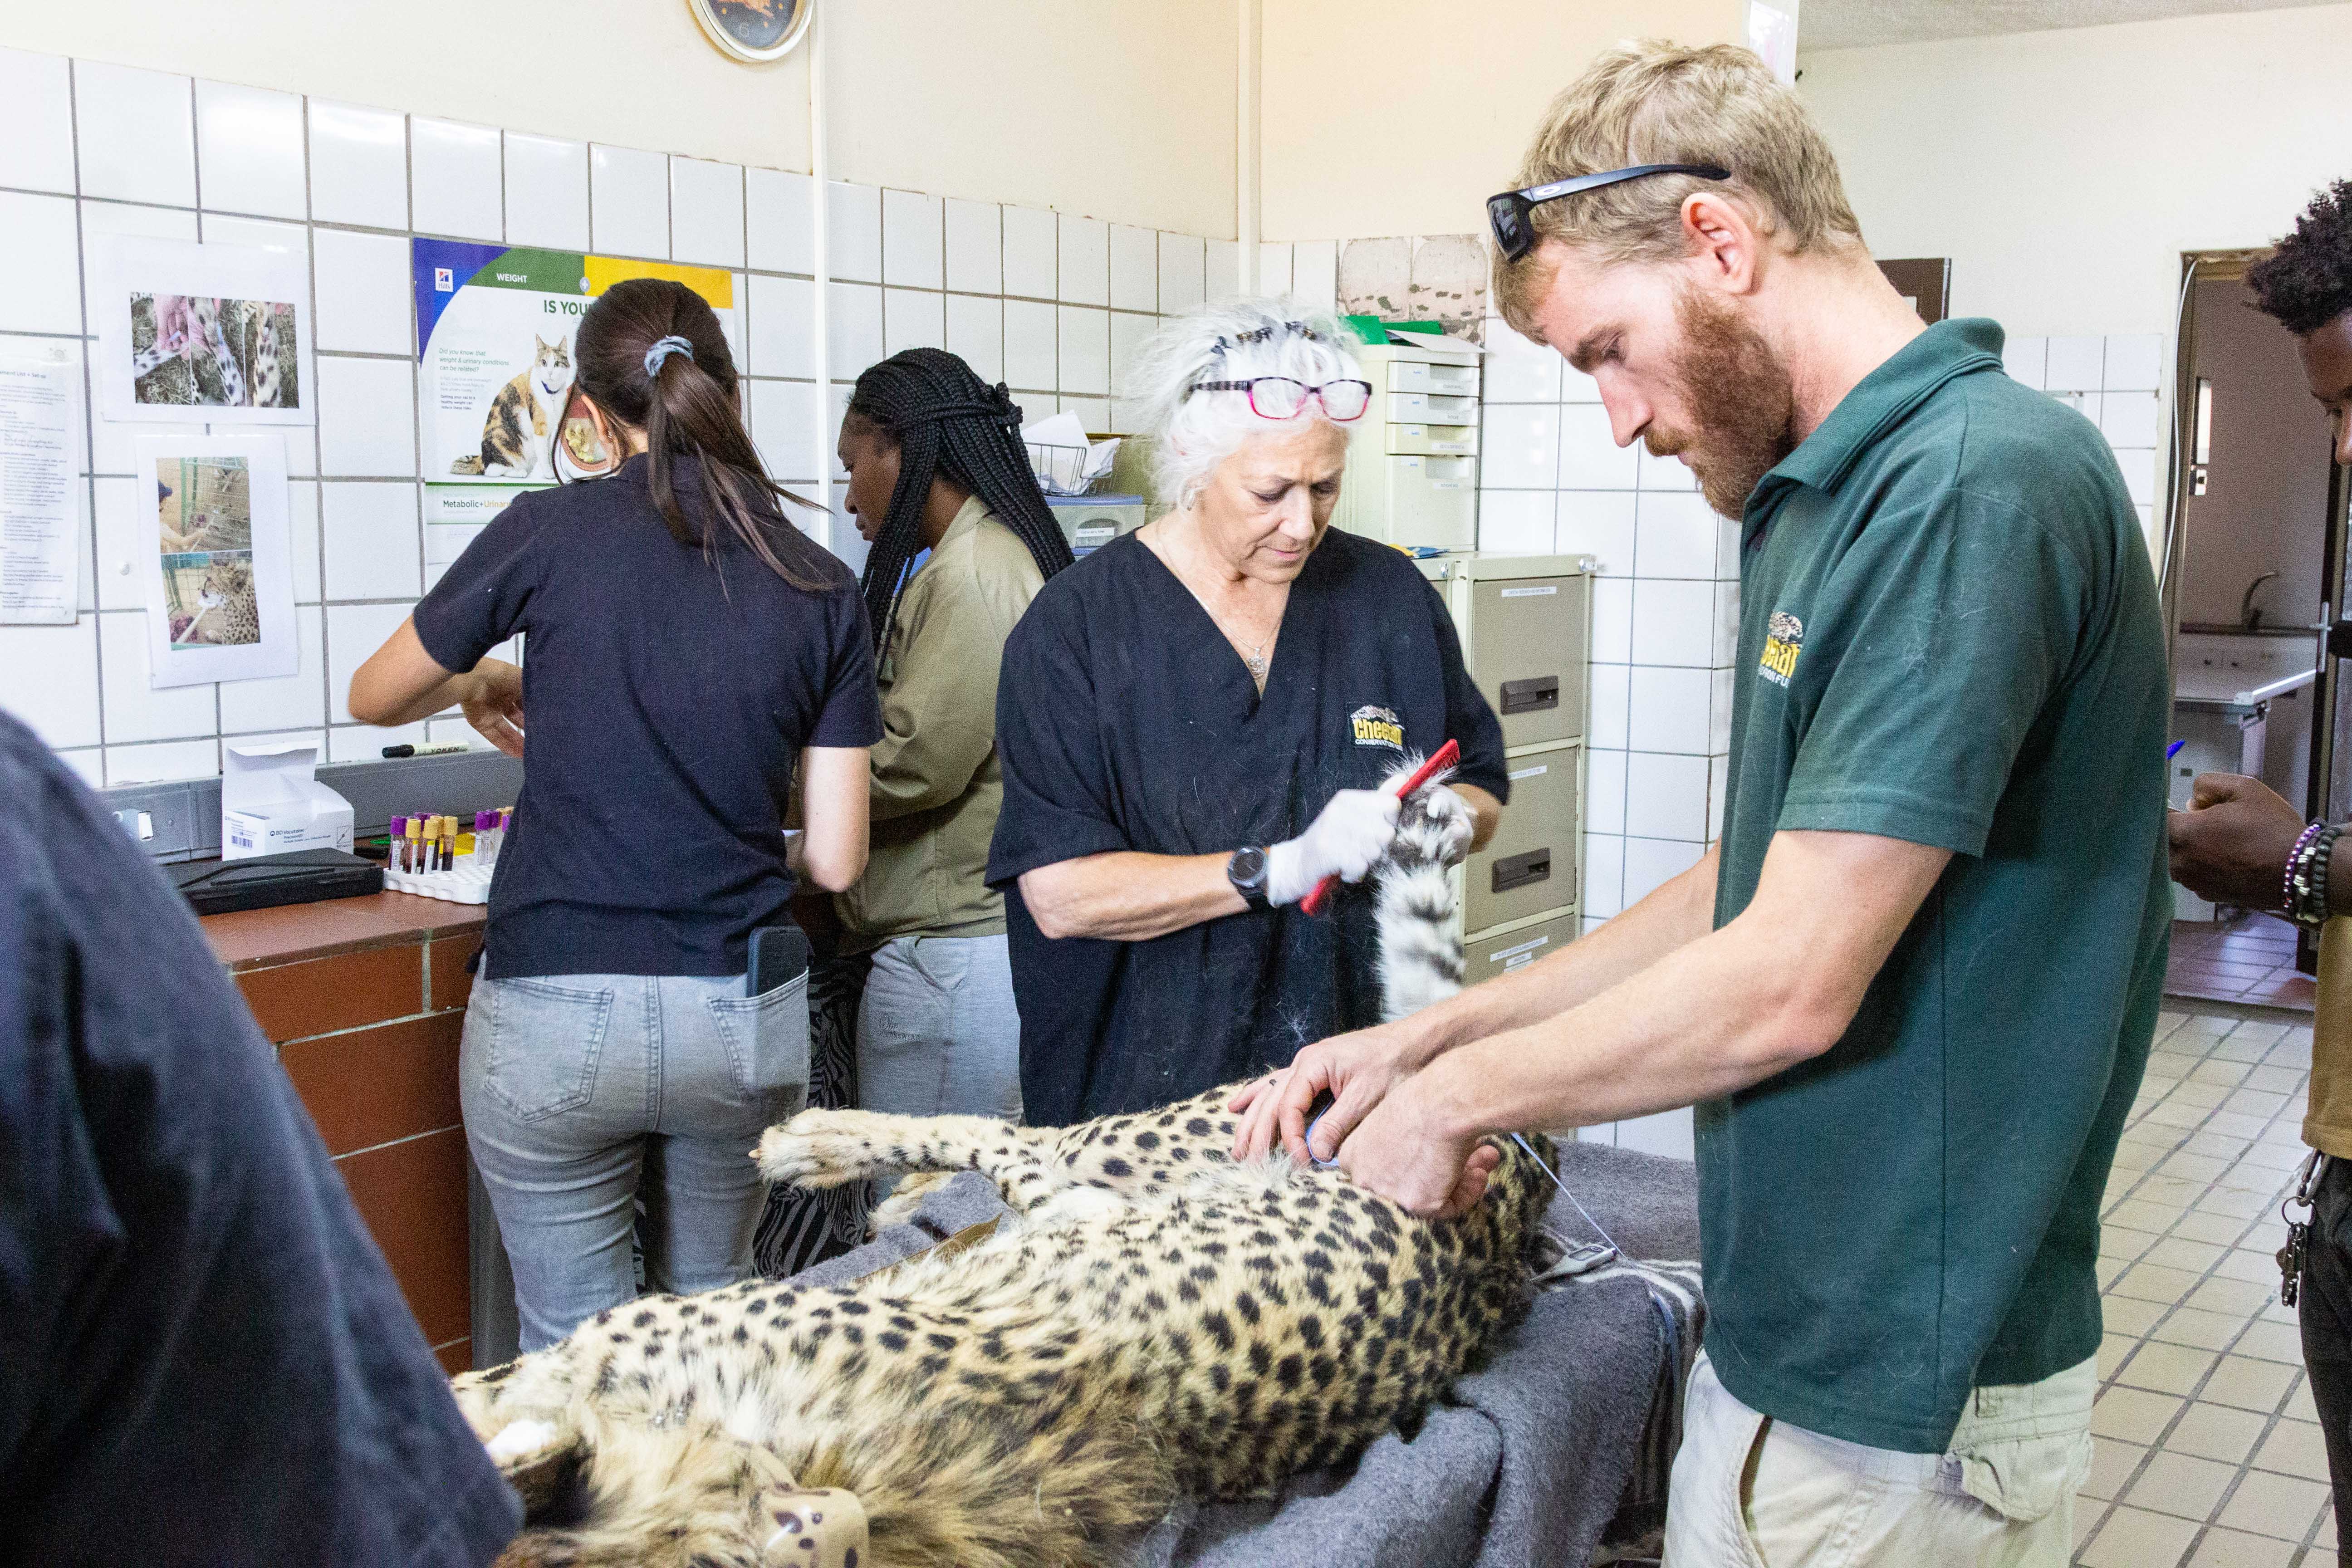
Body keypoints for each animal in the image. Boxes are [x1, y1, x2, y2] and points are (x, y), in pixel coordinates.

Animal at [456, 766, 1562, 1568]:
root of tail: (1514, 1211)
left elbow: (491, 1382)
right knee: (1009, 1177)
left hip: (1158, 1137)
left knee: (1005, 1141)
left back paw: (813, 1148)